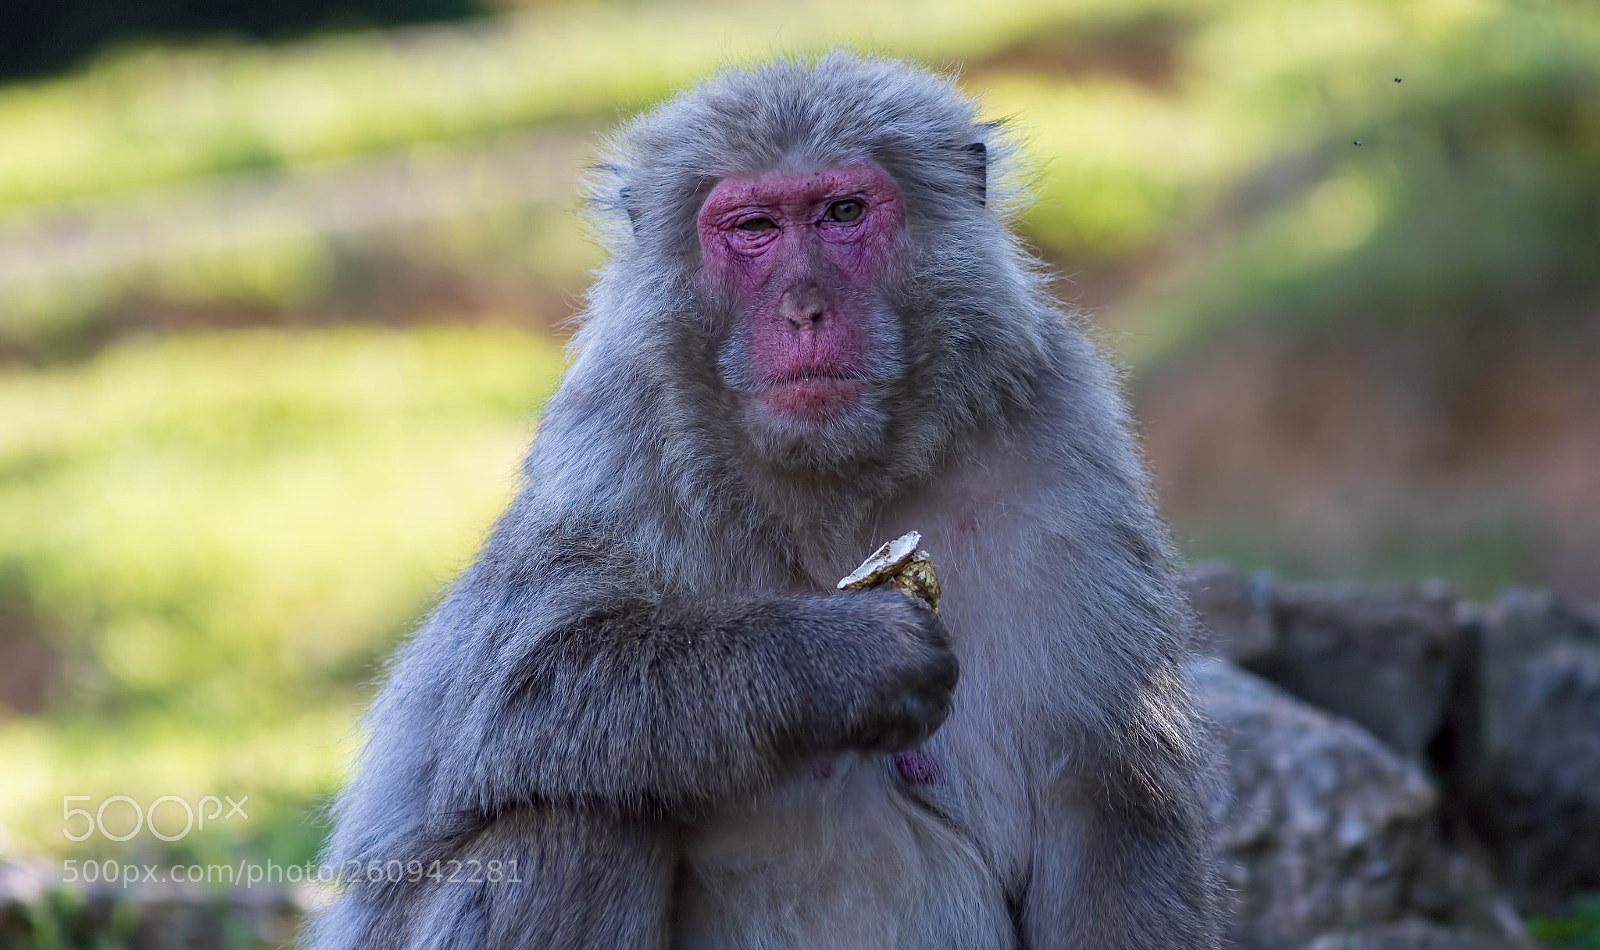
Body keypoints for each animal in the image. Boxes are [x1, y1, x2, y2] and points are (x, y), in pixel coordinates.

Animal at [302, 53, 1221, 949]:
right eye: (754, 230)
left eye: (842, 212)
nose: (803, 308)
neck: (832, 492)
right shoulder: (611, 451)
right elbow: (506, 696)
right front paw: (839, 659)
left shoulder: (1062, 448)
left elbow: (1103, 807)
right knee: (573, 826)